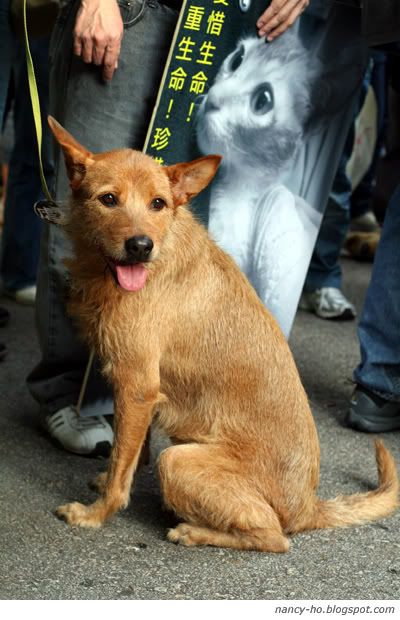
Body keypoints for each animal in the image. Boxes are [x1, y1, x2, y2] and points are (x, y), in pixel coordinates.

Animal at [48, 116, 398, 552]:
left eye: (158, 204)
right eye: (108, 199)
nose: (141, 246)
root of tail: (308, 507)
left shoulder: (136, 386)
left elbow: (120, 466)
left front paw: (95, 514)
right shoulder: (143, 392)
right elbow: (130, 455)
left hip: (178, 461)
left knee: (273, 537)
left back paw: (193, 531)